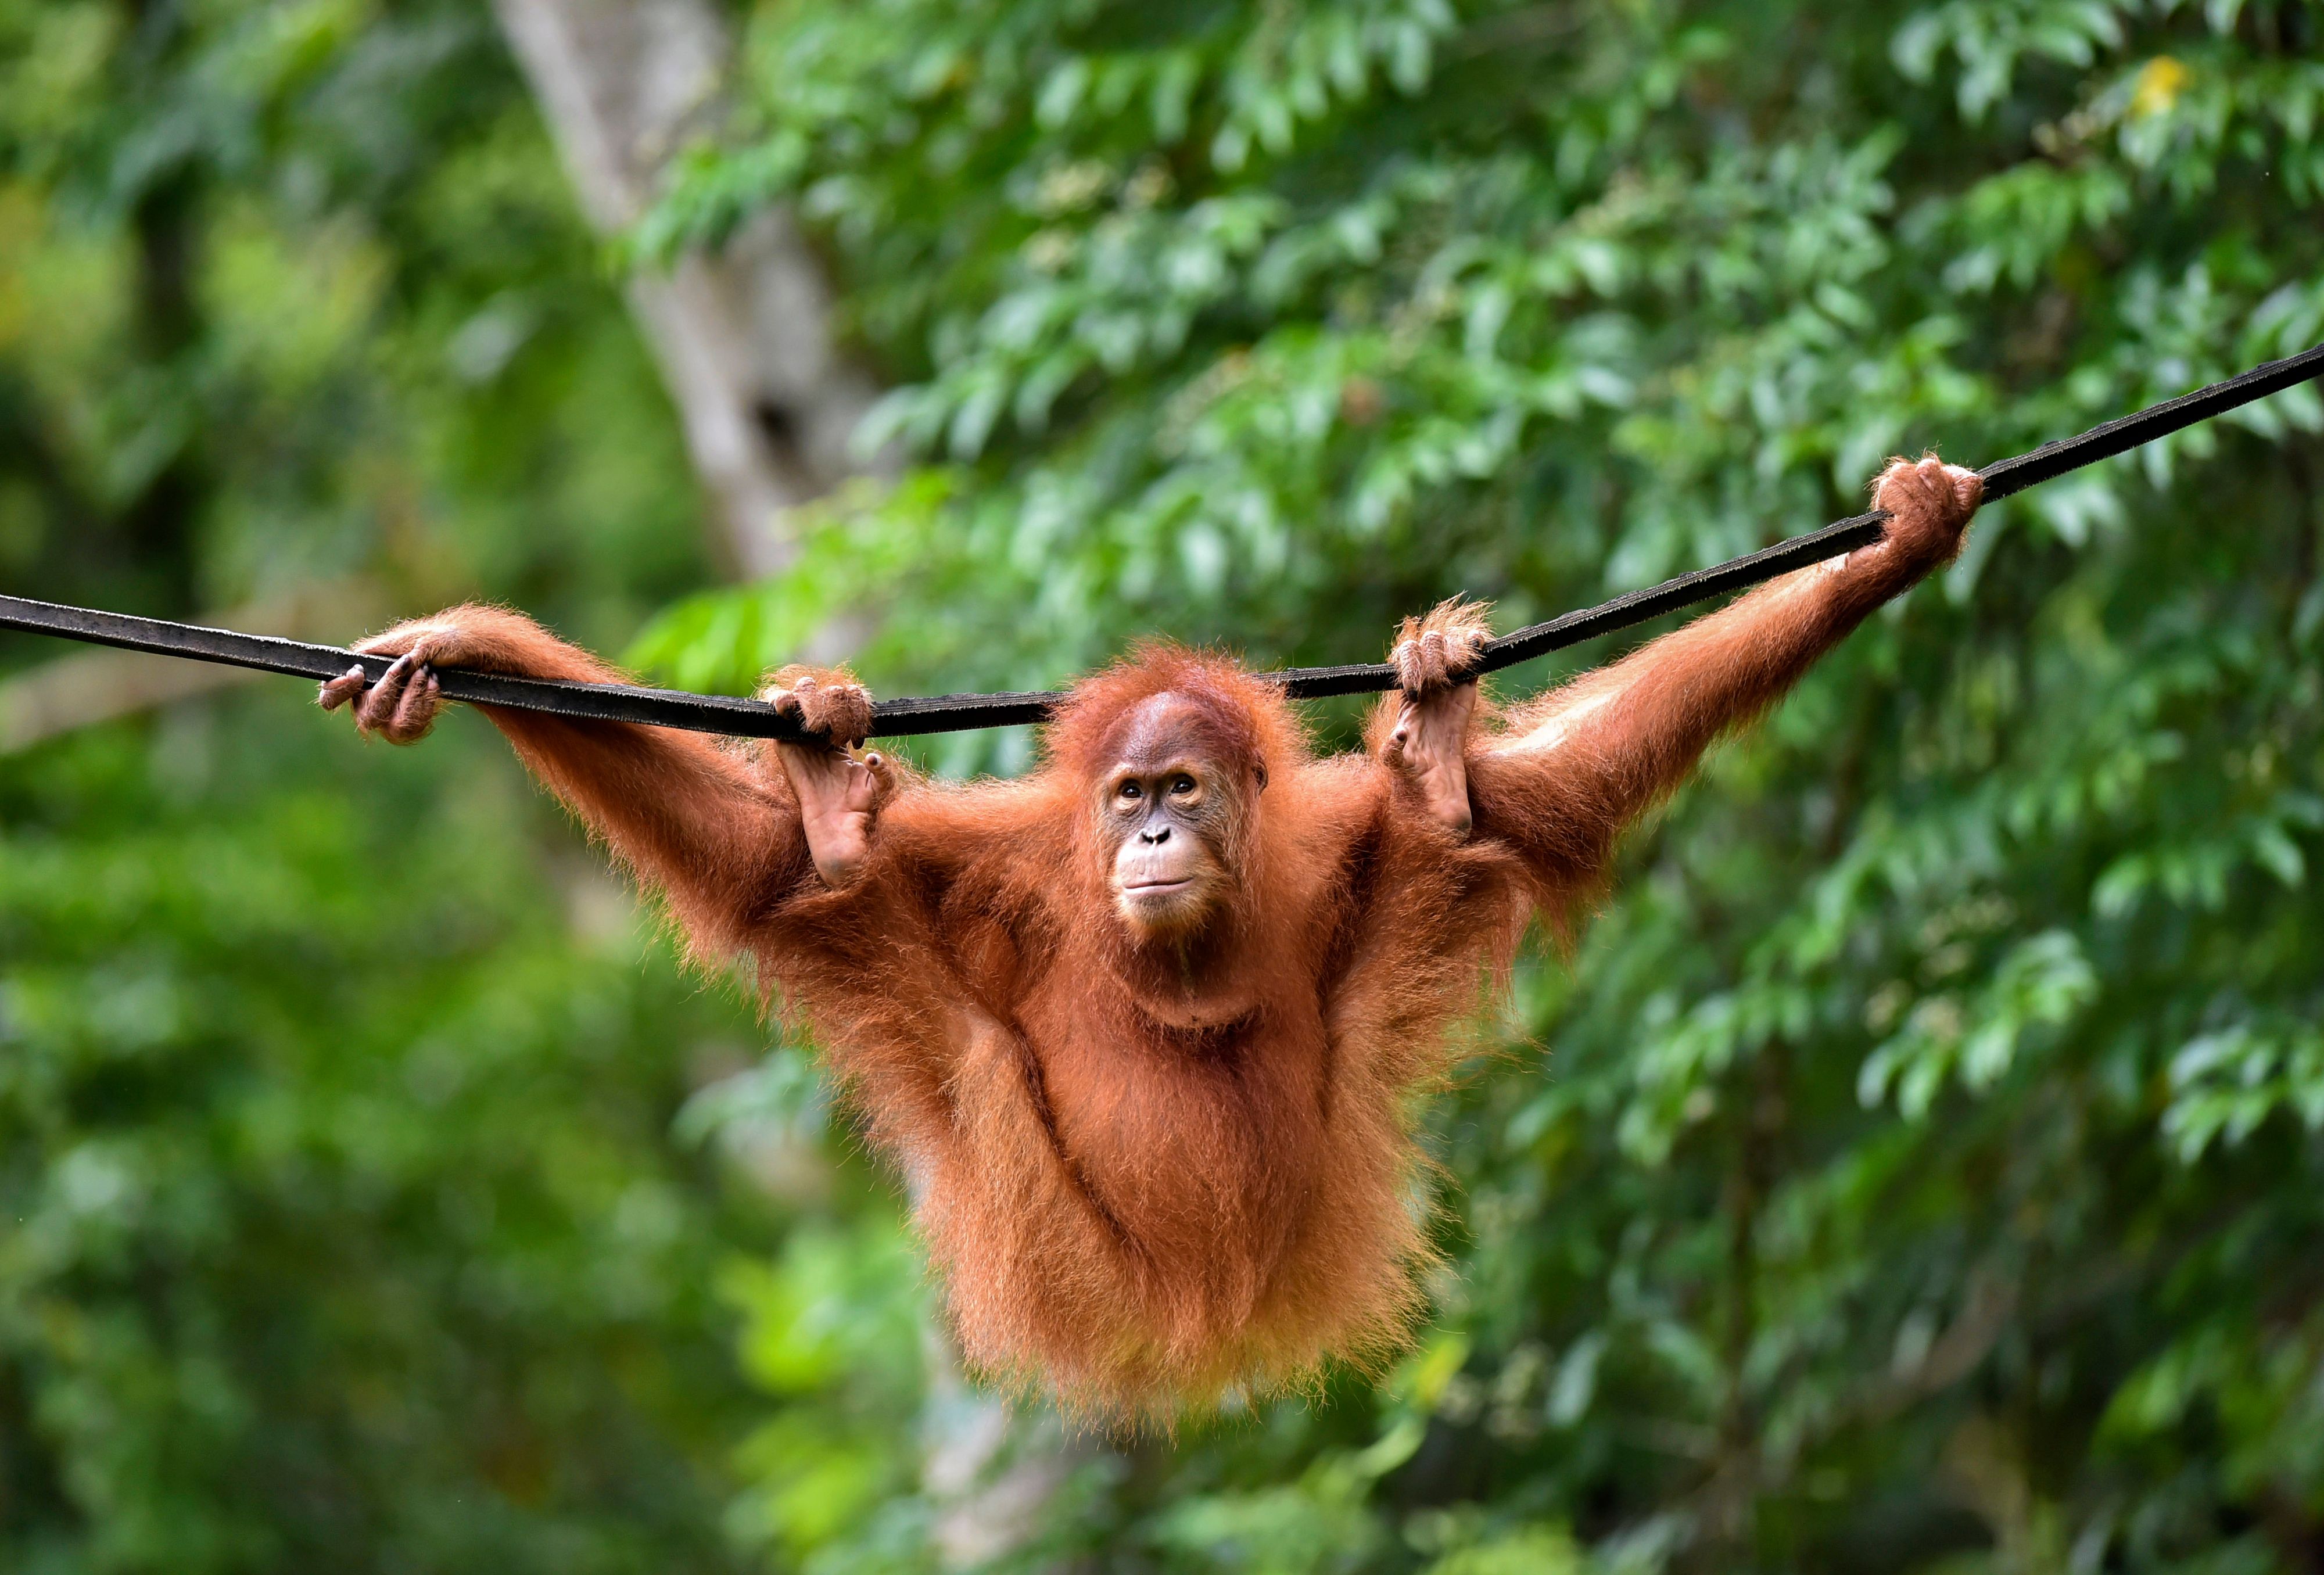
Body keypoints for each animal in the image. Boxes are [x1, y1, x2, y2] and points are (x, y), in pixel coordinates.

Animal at [320, 456, 1982, 1418]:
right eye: (1125, 797)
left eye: (1182, 788)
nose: (1155, 840)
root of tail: (1194, 1334)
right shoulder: (996, 860)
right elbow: (762, 866)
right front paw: (463, 643)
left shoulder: (1319, 837)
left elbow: (1544, 790)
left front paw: (1896, 542)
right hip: (1044, 1238)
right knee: (909, 975)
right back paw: (839, 815)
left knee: (1444, 854)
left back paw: (1437, 769)